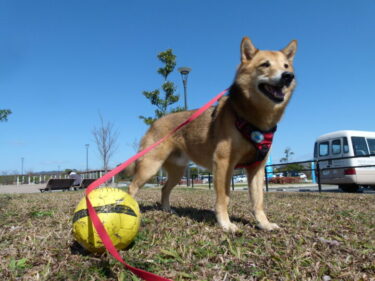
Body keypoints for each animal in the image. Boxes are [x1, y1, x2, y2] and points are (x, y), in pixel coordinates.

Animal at [128, 37, 298, 232]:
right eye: (265, 64)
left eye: (286, 66)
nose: (288, 76)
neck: (253, 117)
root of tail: (155, 122)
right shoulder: (223, 162)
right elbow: (224, 198)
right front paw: (226, 224)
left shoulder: (257, 168)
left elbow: (258, 201)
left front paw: (264, 224)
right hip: (150, 166)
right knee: (131, 188)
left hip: (177, 171)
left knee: (164, 189)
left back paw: (167, 209)